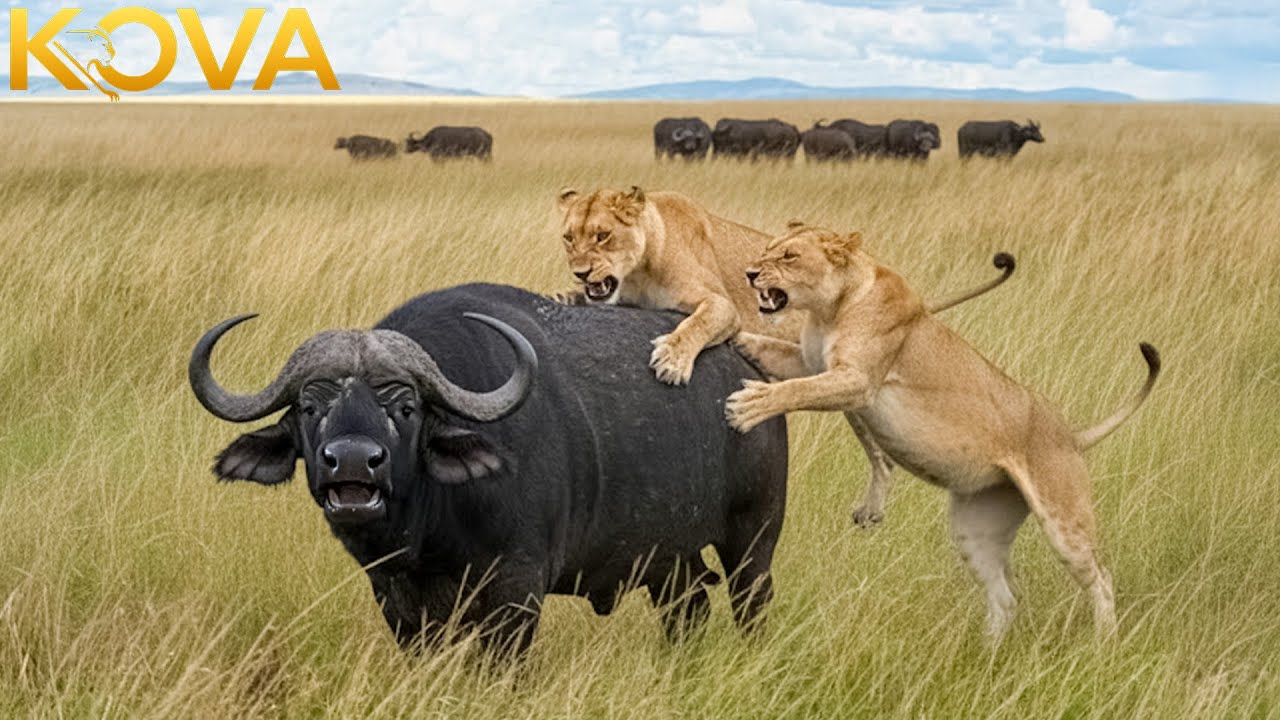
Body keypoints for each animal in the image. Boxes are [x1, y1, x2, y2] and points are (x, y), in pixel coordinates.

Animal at [189, 283, 787, 656]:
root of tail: (747, 373)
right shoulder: (396, 599)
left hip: (753, 535)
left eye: (406, 407)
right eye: (309, 407)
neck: (430, 533)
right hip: (668, 560)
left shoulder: (515, 592)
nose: (354, 460)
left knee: (750, 605)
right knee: (689, 610)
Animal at [555, 187, 1015, 527]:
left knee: (883, 458)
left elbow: (695, 325)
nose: (580, 271)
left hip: (855, 393)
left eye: (603, 235)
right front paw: (567, 296)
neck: (638, 268)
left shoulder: (721, 305)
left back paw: (871, 511)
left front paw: (673, 359)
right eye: (569, 237)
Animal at [724, 223, 1161, 640]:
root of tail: (1072, 436)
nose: (749, 273)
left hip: (1063, 521)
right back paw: (985, 652)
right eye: (769, 249)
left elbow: (796, 391)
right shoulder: (808, 362)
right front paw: (720, 326)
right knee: (1004, 597)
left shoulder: (858, 381)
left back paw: (1104, 645)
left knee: (1101, 579)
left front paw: (750, 406)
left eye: (790, 256)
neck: (830, 309)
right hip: (977, 528)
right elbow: (766, 349)